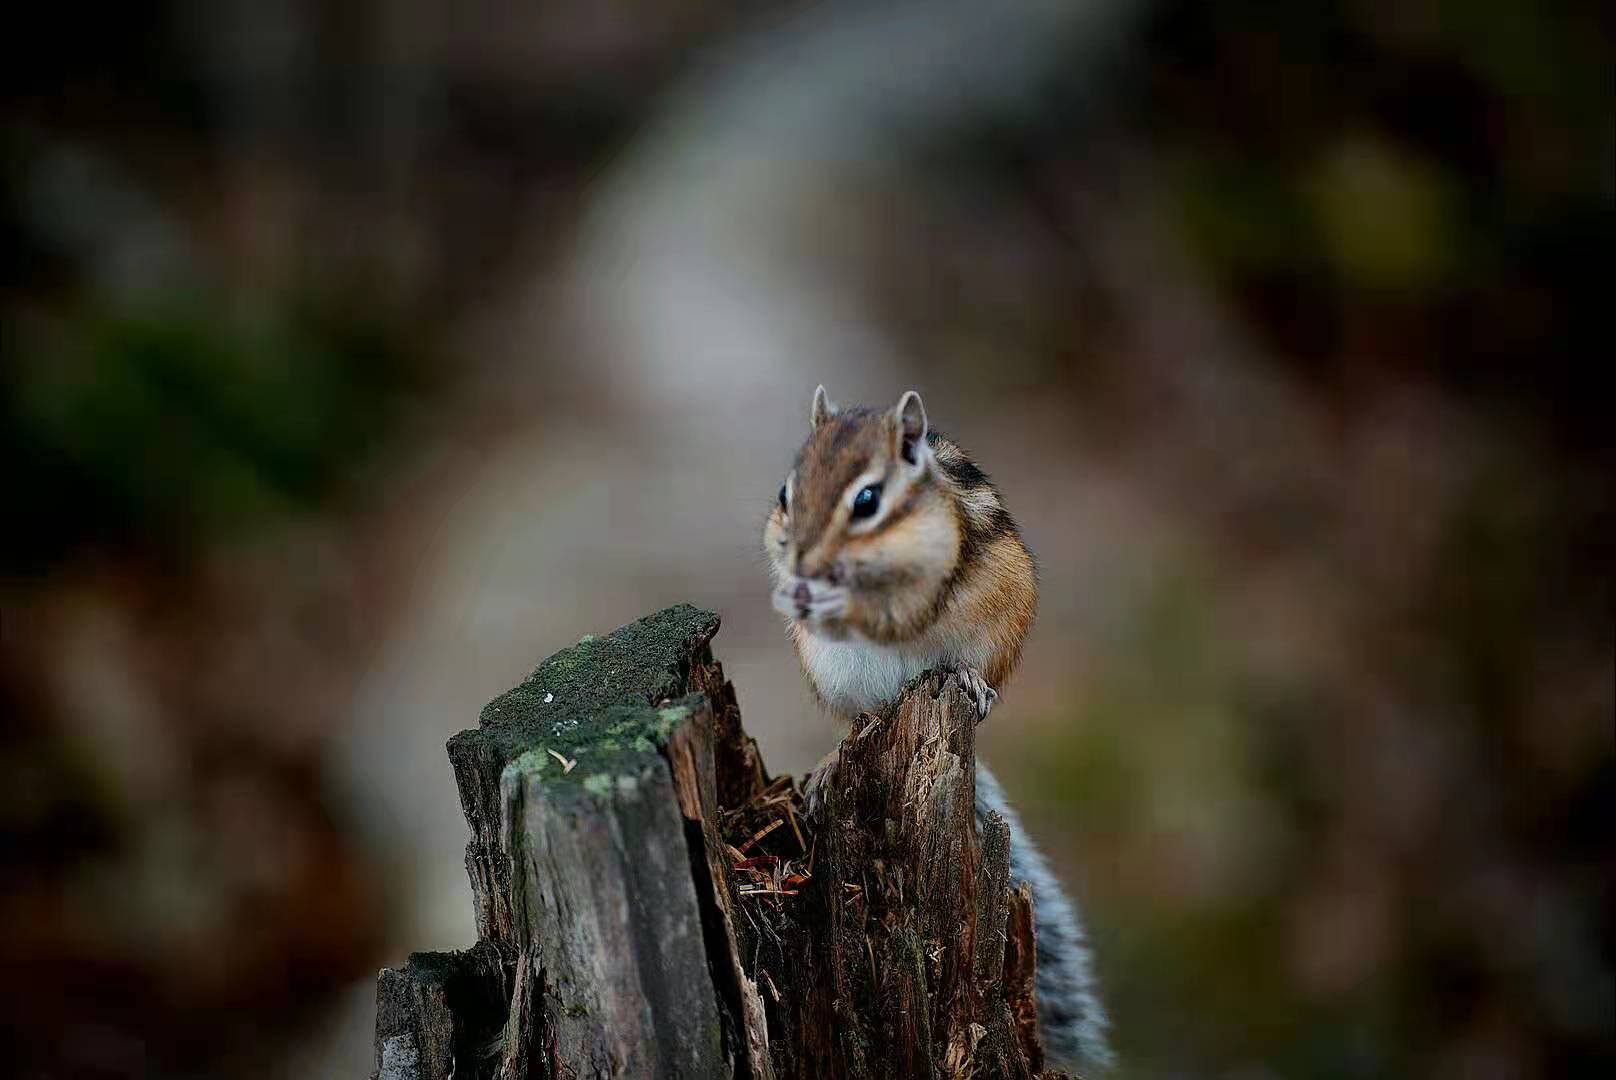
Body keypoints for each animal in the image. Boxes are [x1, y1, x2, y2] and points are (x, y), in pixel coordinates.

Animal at [763, 385, 1114, 1073]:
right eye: (787, 492)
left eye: (867, 500)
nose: (803, 561)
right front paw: (794, 591)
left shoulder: (929, 570)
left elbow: (896, 608)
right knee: (859, 719)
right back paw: (831, 763)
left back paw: (970, 684)